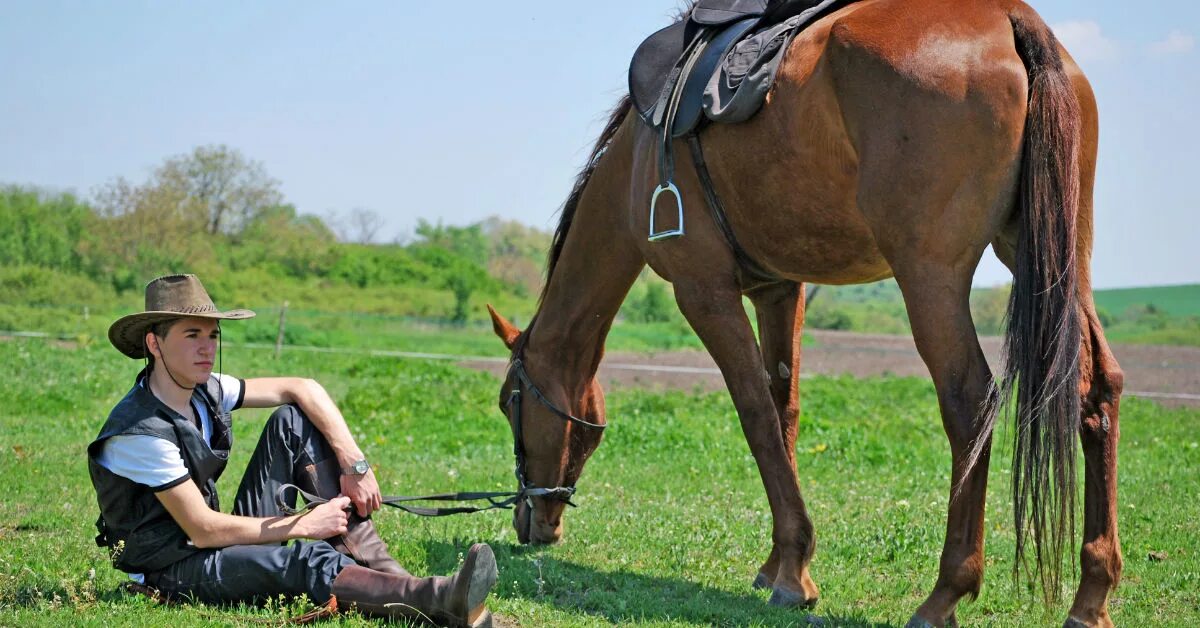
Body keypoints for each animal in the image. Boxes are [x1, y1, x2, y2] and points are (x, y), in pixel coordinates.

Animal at [482, 2, 1118, 624]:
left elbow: (757, 416)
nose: (528, 521)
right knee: (1097, 390)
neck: (640, 153)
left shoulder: (703, 292)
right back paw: (1092, 593)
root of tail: (1011, 21)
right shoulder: (779, 289)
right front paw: (780, 565)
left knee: (970, 402)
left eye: (510, 401)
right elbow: (783, 410)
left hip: (930, 279)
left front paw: (793, 573)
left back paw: (945, 594)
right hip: (1059, 261)